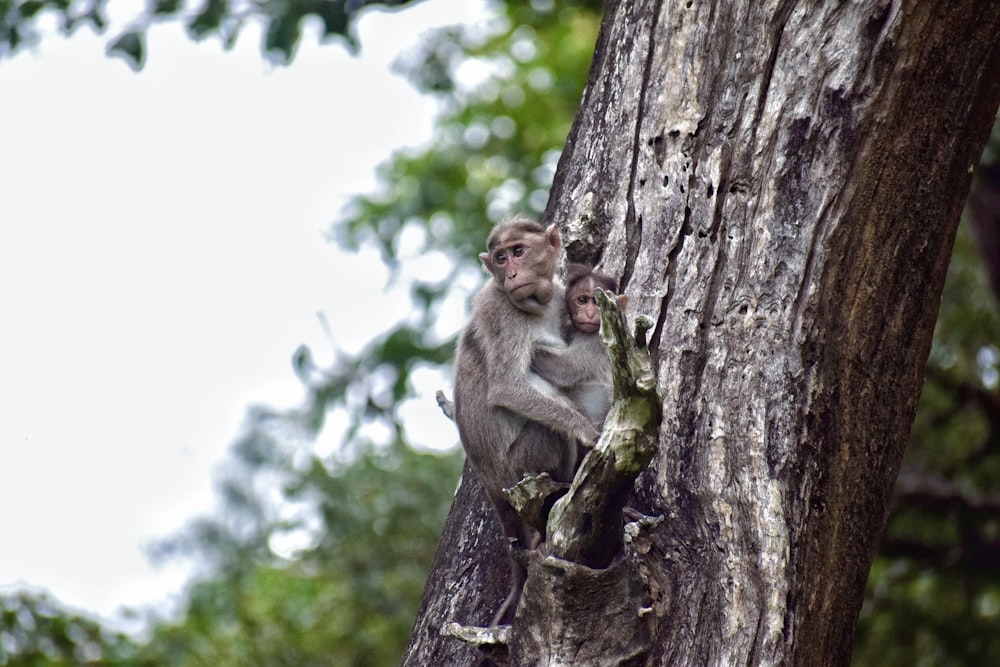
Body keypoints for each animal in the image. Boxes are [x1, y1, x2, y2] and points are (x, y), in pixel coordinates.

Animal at [456, 215, 600, 628]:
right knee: (550, 430)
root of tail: (490, 482)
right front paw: (586, 430)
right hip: (519, 467)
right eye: (501, 258)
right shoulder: (499, 310)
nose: (512, 273)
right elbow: (508, 387)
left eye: (518, 251)